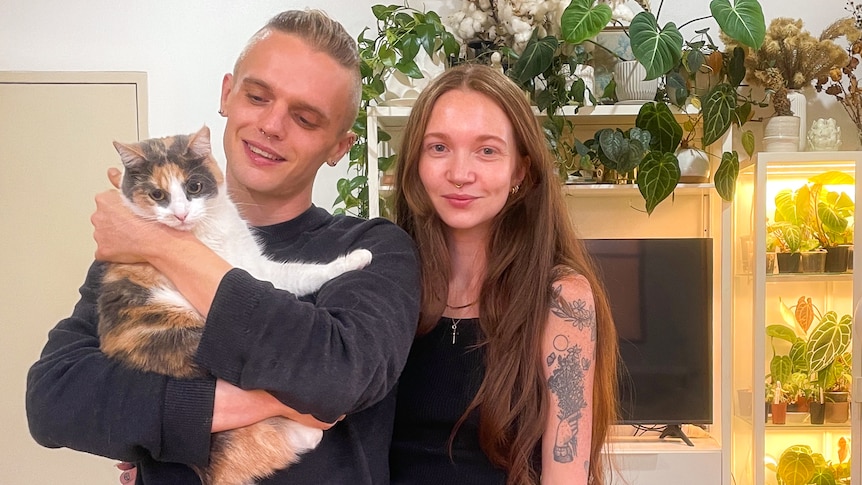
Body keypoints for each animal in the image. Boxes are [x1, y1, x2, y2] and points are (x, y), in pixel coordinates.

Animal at [97, 125, 372, 484]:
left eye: (194, 187)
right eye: (157, 195)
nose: (180, 214)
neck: (212, 227)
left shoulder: (259, 264)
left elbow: (299, 273)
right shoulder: (251, 273)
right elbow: (294, 278)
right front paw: (357, 258)